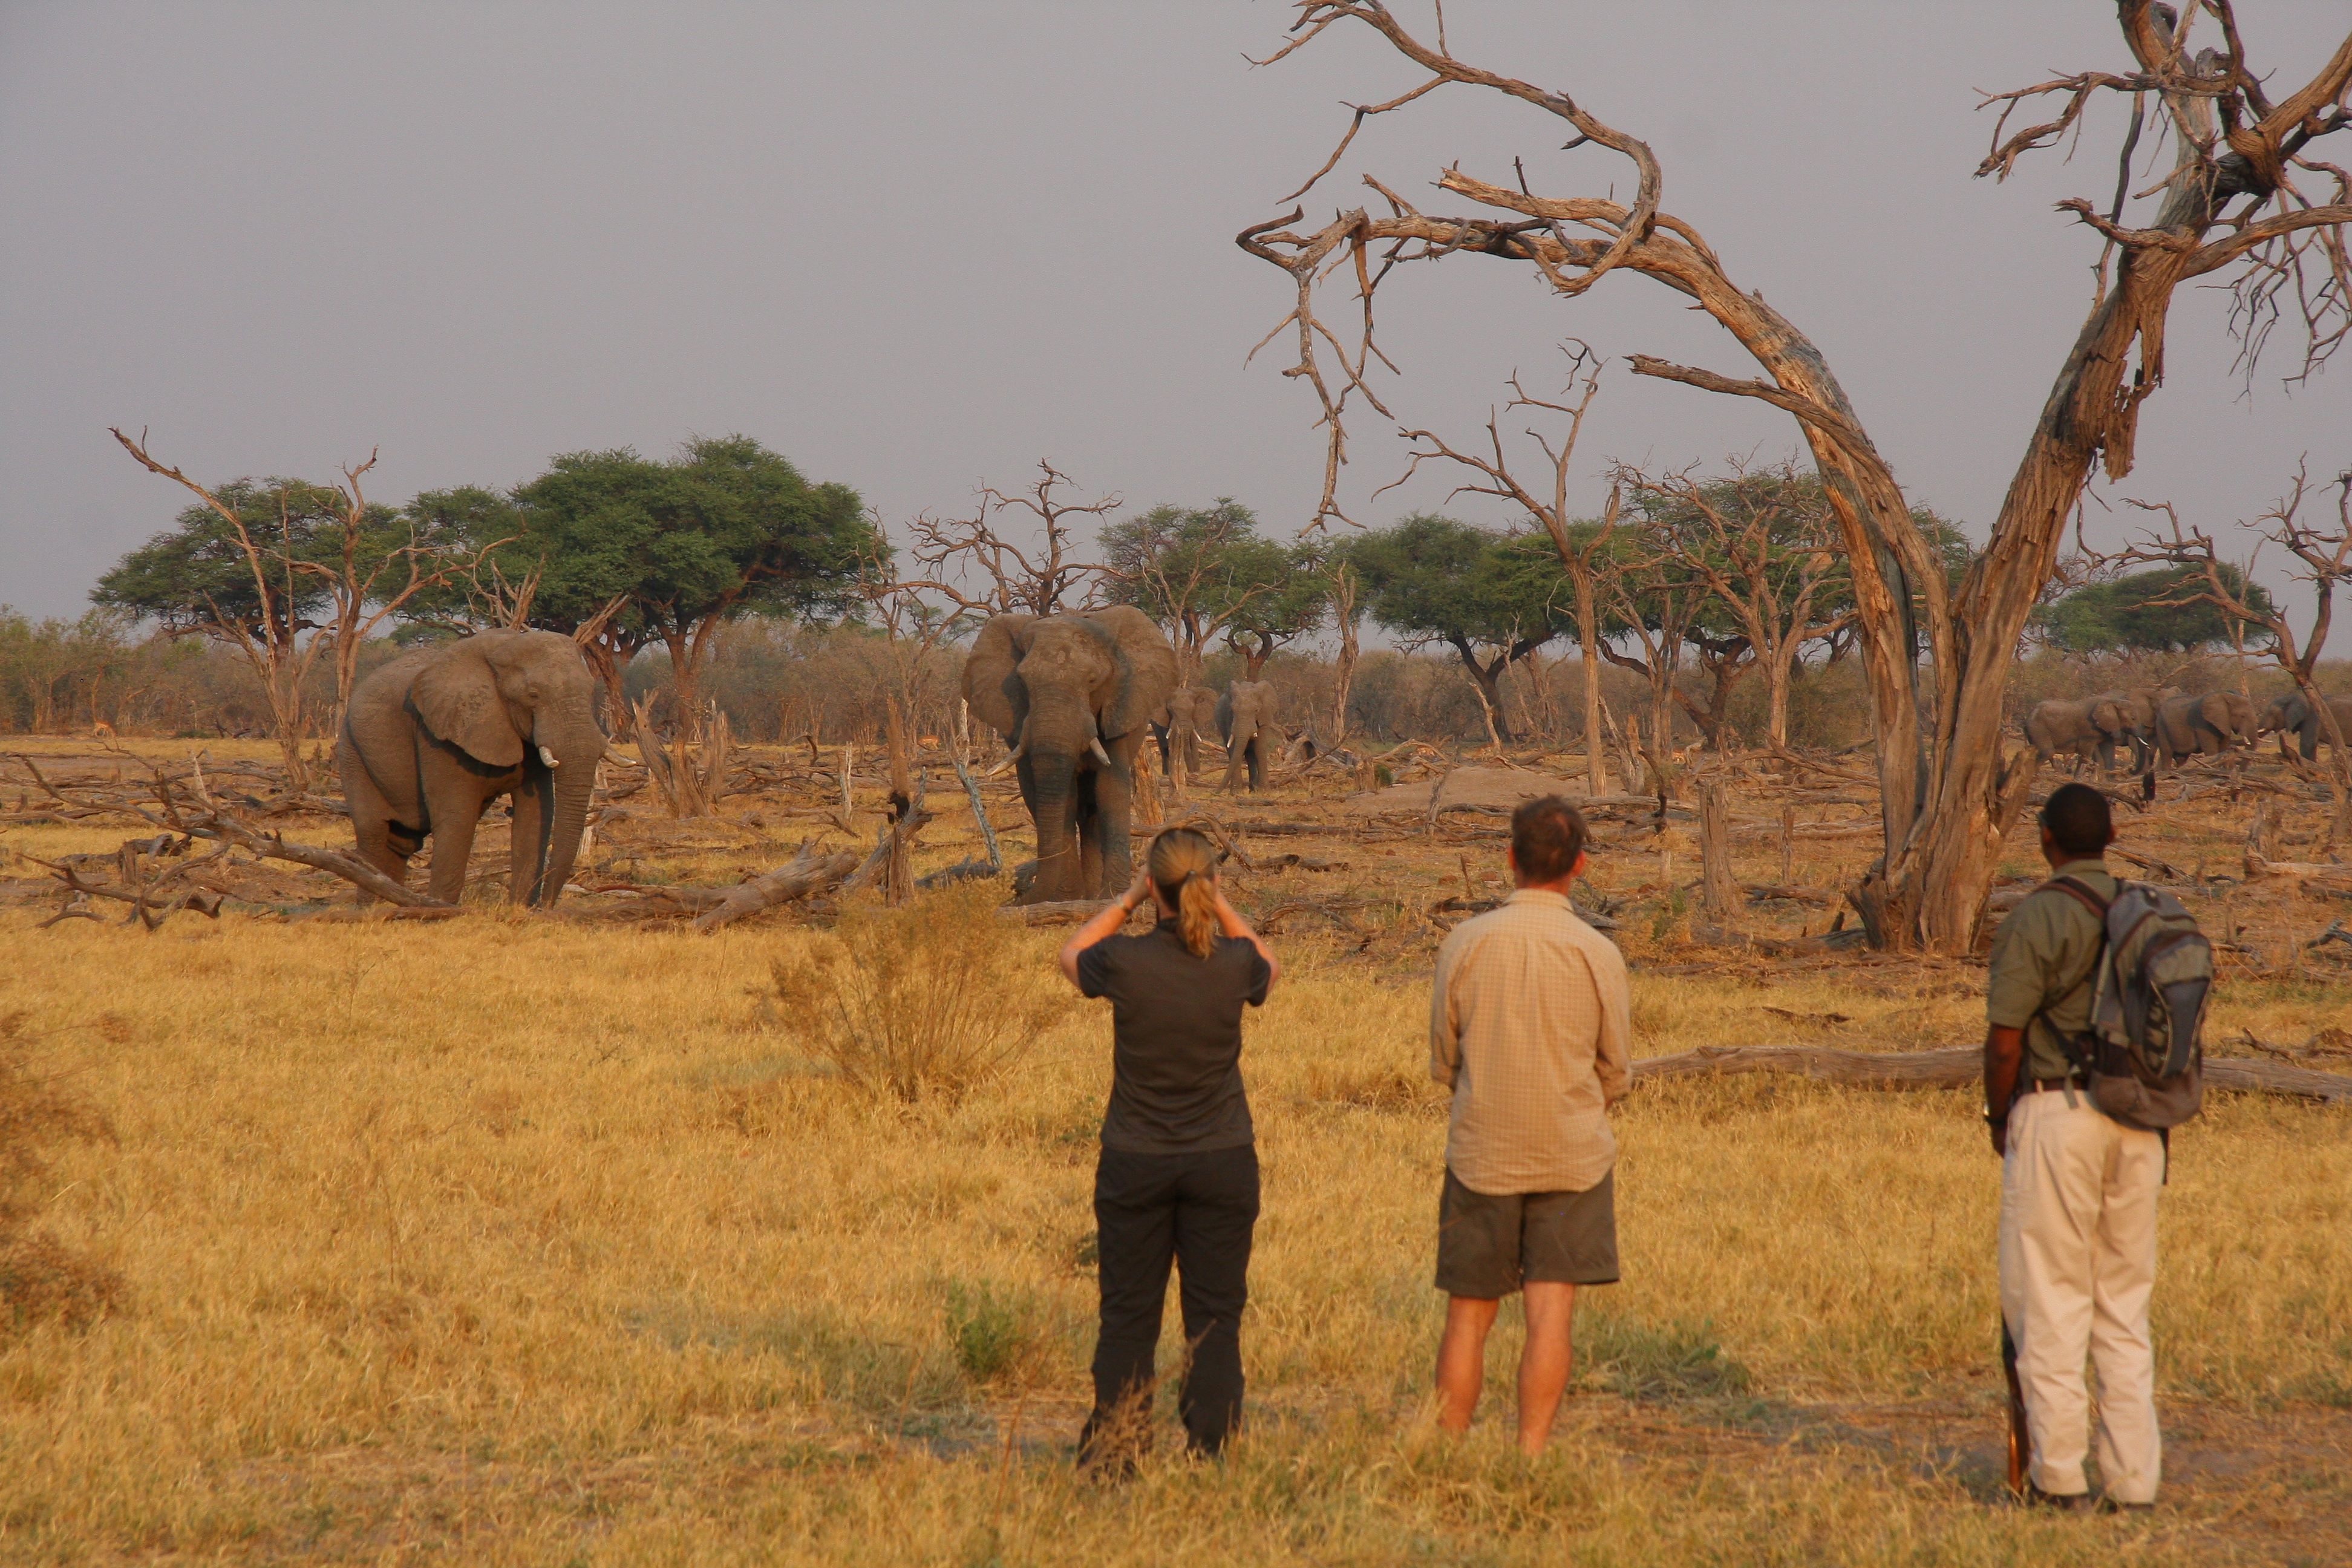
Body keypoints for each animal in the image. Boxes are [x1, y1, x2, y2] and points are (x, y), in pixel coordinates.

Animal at [337, 629, 607, 907]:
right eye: (533, 694)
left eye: (591, 691)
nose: (545, 907)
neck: (505, 646)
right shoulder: (438, 734)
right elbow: (458, 816)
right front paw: (441, 909)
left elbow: (535, 816)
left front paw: (519, 909)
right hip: (352, 751)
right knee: (373, 832)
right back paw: (371, 907)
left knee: (402, 841)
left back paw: (391, 903)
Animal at [962, 605, 1178, 903]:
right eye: (1022, 681)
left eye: (1092, 680)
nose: (1017, 901)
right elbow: (1047, 793)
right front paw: (1065, 899)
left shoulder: (1118, 709)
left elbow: (1110, 789)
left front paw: (1112, 897)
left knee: (1092, 808)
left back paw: (1093, 895)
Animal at [1151, 686, 1217, 779]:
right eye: (1170, 709)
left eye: (1193, 709)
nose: (1191, 772)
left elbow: (1193, 739)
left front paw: (1197, 771)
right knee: (1162, 743)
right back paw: (1166, 773)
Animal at [1216, 680, 1281, 793]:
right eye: (1232, 711)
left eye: (1256, 710)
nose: (1214, 793)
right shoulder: (1229, 719)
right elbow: (1234, 749)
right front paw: (1236, 793)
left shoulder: (1265, 715)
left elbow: (1260, 748)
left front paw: (1264, 792)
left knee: (1251, 755)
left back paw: (1253, 790)